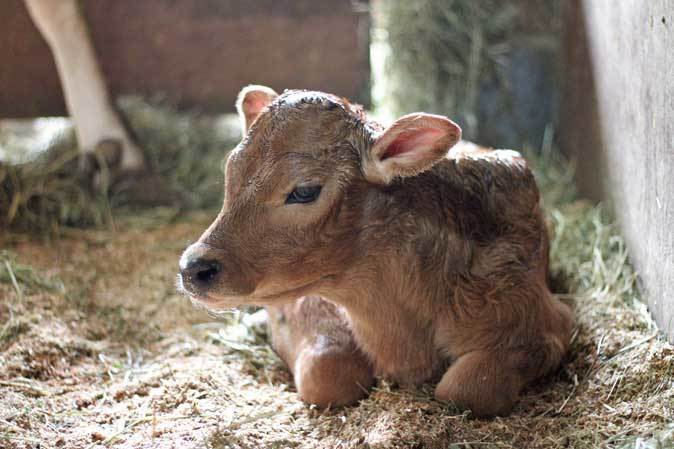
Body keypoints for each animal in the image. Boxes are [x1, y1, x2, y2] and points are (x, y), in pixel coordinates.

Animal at [178, 85, 572, 416]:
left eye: (304, 191)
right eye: (230, 171)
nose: (193, 268)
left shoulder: (542, 319)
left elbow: (465, 389)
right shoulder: (309, 297)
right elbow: (327, 372)